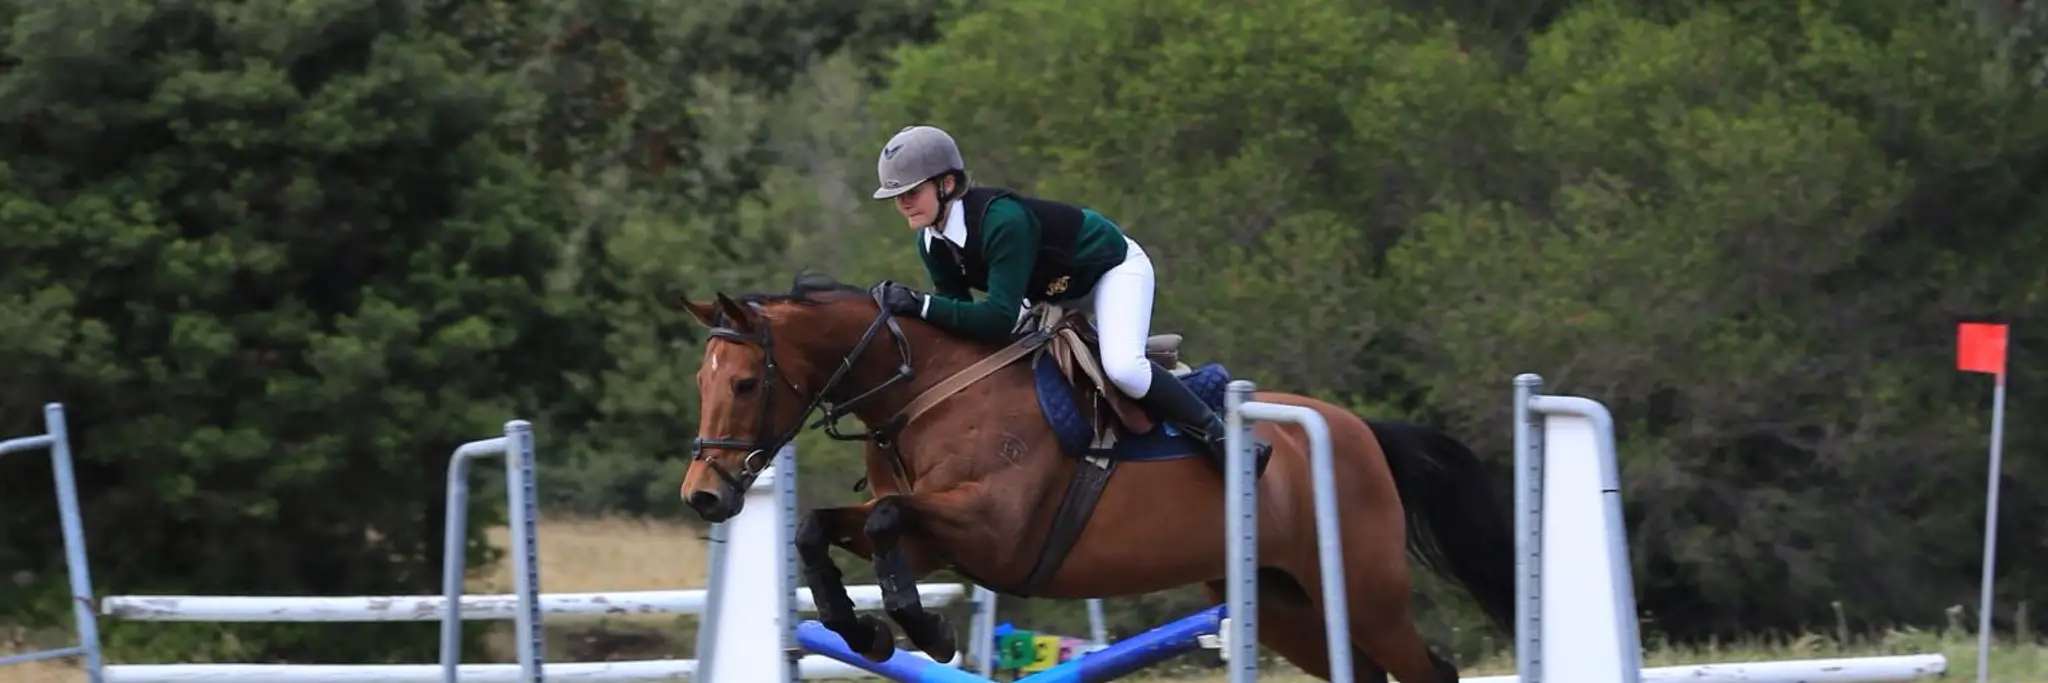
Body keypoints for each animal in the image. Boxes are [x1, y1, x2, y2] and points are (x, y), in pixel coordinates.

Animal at [675, 273, 1517, 683]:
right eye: (700, 379)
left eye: (744, 382)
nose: (705, 495)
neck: (925, 387)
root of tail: (1362, 431)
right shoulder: (931, 540)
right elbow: (822, 527)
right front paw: (869, 630)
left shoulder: (992, 530)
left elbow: (881, 524)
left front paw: (927, 631)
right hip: (1284, 604)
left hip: (1366, 594)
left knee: (1431, 671)